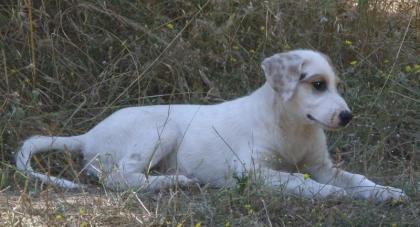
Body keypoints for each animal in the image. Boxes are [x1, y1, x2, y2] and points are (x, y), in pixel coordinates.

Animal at [16, 50, 406, 202]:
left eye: (335, 85)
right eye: (317, 85)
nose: (347, 116)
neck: (292, 125)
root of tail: (88, 135)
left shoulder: (321, 165)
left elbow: (357, 179)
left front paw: (386, 192)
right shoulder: (252, 170)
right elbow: (304, 183)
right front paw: (334, 195)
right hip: (161, 129)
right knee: (118, 177)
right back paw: (173, 182)